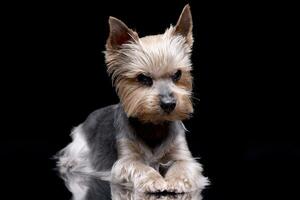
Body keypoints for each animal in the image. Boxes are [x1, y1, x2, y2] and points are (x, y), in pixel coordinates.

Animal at [57, 4, 210, 198]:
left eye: (177, 74)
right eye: (143, 78)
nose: (169, 104)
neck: (153, 126)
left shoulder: (182, 153)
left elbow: (183, 165)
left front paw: (177, 180)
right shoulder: (125, 158)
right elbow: (138, 166)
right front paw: (154, 180)